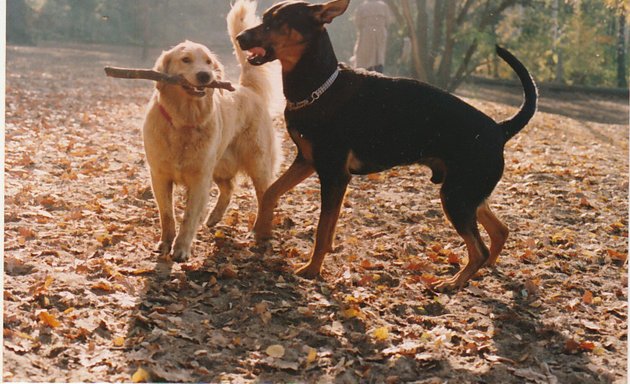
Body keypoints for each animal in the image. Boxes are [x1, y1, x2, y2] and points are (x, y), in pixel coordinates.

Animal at [144, 0, 282, 260]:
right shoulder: (159, 175)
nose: (205, 75)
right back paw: (213, 217)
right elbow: (167, 214)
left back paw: (260, 231)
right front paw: (166, 242)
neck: (183, 122)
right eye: (186, 59)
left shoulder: (199, 178)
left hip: (257, 163)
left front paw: (181, 248)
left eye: (208, 62)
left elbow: (188, 217)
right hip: (220, 164)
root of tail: (248, 89)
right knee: (229, 188)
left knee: (265, 196)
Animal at [237, 0, 540, 288]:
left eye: (279, 21)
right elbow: (272, 193)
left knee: (479, 249)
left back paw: (453, 283)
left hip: (457, 197)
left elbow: (322, 231)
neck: (319, 87)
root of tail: (499, 129)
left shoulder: (334, 174)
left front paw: (312, 269)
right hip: (467, 195)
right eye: (265, 18)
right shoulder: (308, 162)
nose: (240, 37)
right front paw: (261, 231)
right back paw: (484, 270)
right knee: (499, 232)